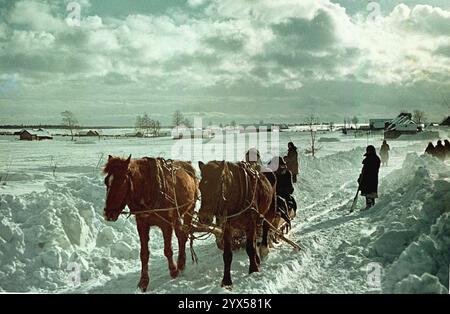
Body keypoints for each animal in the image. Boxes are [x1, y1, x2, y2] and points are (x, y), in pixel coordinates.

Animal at [105, 155, 199, 292]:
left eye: (121, 182)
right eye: (106, 181)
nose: (108, 214)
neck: (149, 188)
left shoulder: (166, 224)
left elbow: (167, 250)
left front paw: (173, 270)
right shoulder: (142, 224)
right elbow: (144, 254)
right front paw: (143, 281)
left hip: (189, 210)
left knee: (184, 234)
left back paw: (180, 264)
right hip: (176, 216)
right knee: (181, 235)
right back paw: (181, 262)